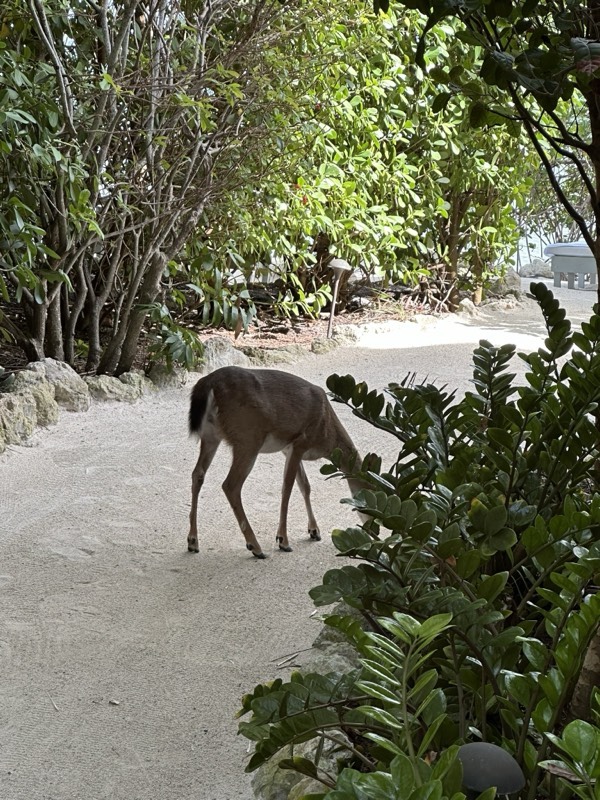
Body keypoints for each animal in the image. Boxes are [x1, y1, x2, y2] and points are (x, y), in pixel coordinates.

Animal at [187, 365, 366, 559]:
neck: (327, 436)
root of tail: (209, 382)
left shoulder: (288, 449)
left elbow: (305, 486)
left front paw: (314, 531)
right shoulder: (301, 442)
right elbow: (287, 488)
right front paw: (283, 540)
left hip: (211, 435)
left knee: (197, 474)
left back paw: (193, 542)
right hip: (248, 438)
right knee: (230, 485)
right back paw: (255, 547)